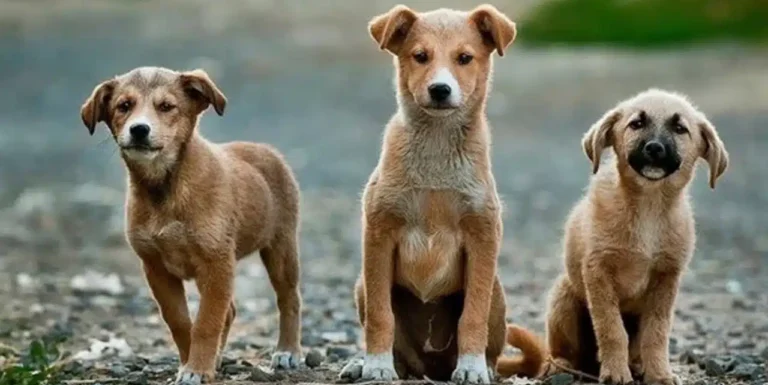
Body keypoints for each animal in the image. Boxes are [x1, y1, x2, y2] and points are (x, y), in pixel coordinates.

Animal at [81, 67, 304, 384]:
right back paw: (219, 358)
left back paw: (287, 351)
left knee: (289, 299)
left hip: (281, 247)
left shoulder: (216, 263)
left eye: (166, 106)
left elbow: (206, 322)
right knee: (230, 311)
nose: (139, 130)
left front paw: (197, 368)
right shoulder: (156, 268)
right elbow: (180, 321)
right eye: (124, 106)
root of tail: (265, 149)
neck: (165, 188)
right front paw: (192, 363)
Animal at [340, 3, 516, 384]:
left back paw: (484, 366)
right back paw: (367, 363)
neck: (436, 147)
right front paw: (375, 365)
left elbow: (472, 315)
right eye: (420, 56)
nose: (440, 90)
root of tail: (430, 366)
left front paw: (472, 367)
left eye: (464, 58)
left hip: (497, 291)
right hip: (361, 285)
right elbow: (381, 315)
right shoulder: (379, 233)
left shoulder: (483, 235)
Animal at [496, 89, 728, 384]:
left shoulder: (666, 278)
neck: (648, 207)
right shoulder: (598, 272)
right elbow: (611, 329)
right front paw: (617, 372)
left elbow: (657, 333)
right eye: (636, 124)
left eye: (680, 129)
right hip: (564, 296)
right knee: (560, 352)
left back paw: (636, 366)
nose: (654, 148)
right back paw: (561, 366)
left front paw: (659, 373)